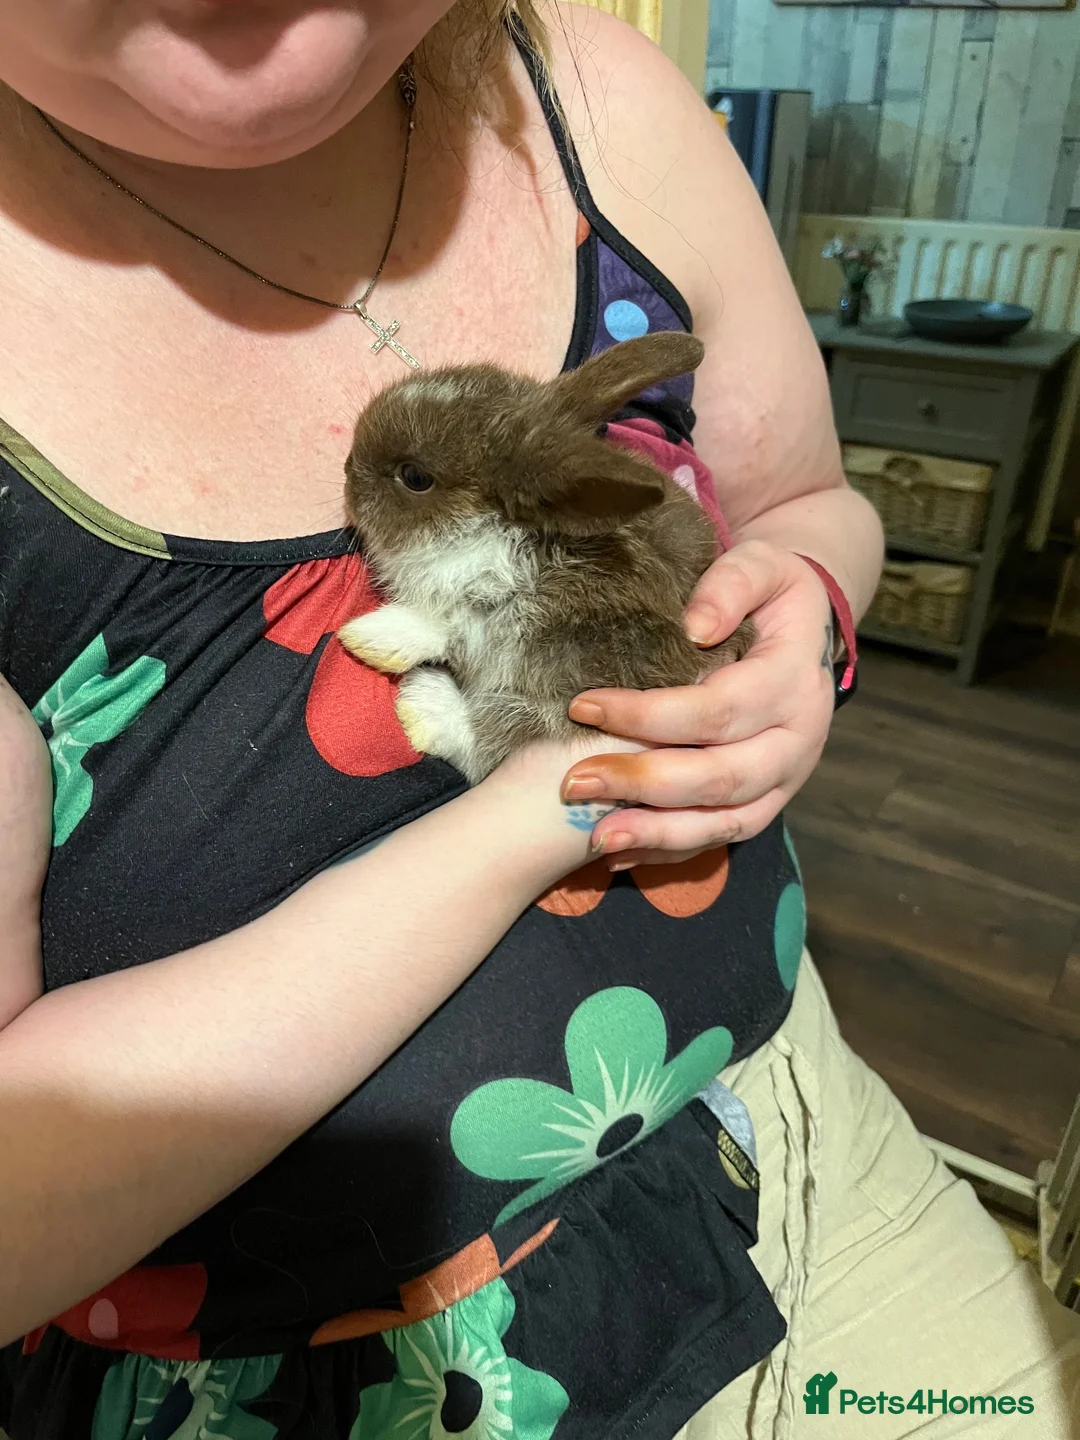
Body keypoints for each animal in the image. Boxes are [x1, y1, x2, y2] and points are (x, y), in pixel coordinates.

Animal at [338, 330, 755, 784]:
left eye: (414, 477)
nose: (347, 469)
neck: (498, 534)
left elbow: (450, 625)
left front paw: (370, 637)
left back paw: (424, 706)